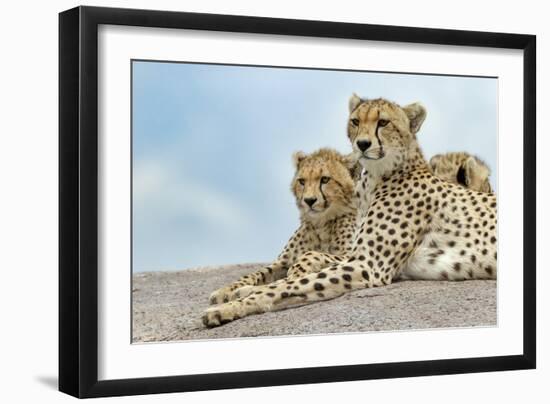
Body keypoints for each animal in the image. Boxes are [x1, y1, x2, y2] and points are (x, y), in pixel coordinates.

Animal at [204, 95, 500, 328]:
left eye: (383, 123)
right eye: (356, 121)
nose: (363, 144)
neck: (375, 179)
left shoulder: (367, 265)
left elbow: (293, 284)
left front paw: (227, 307)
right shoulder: (358, 257)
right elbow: (289, 278)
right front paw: (239, 291)